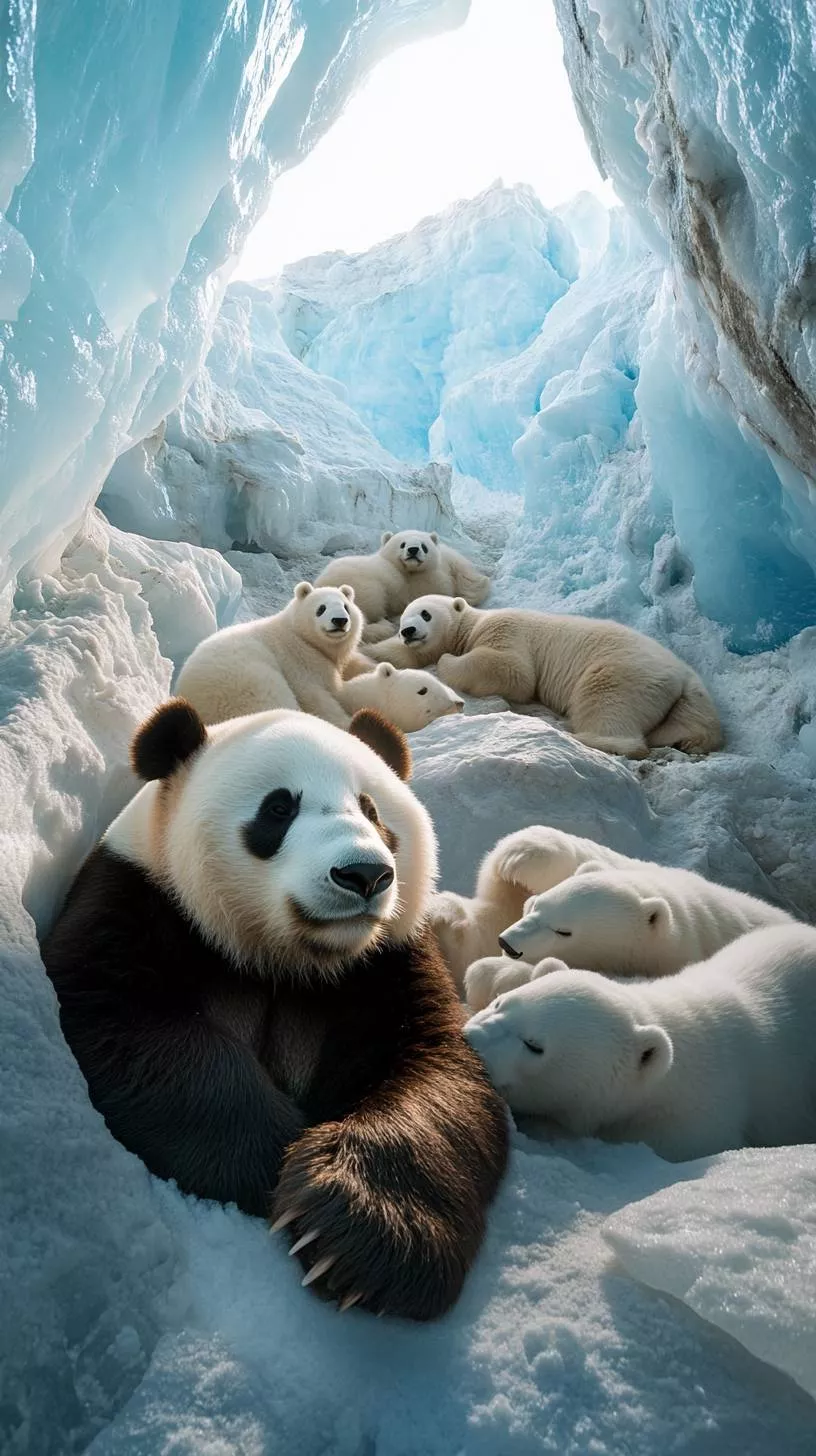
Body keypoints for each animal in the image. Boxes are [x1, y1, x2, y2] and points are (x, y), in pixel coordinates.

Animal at [41, 702, 509, 1321]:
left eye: (372, 810)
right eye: (279, 808)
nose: (364, 874)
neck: (287, 959)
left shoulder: (390, 960)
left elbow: (437, 1074)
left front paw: (359, 1237)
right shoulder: (133, 899)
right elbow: (119, 1024)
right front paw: (274, 1157)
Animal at [175, 581, 374, 730]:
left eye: (346, 607)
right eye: (321, 608)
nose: (340, 620)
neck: (298, 634)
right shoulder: (298, 660)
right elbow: (317, 695)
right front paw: (347, 720)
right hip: (244, 681)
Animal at [316, 531, 490, 644]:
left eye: (424, 546)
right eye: (402, 544)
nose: (413, 550)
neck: (408, 571)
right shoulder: (420, 582)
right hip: (363, 584)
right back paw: (384, 626)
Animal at [366, 595, 723, 759]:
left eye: (426, 614)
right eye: (403, 617)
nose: (408, 631)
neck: (472, 625)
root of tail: (681, 674)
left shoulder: (504, 629)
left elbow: (514, 671)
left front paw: (447, 661)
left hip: (623, 672)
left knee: (605, 700)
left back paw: (580, 735)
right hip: (690, 699)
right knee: (691, 722)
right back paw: (686, 740)